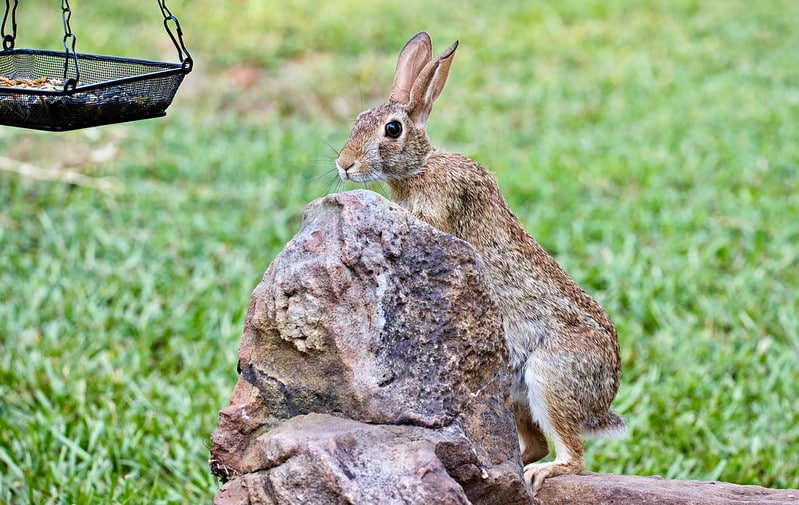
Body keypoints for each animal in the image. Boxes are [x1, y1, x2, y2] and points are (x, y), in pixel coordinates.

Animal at [335, 31, 626, 493]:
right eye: (360, 118)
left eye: (392, 129)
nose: (344, 165)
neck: (421, 166)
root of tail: (602, 402)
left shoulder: (443, 206)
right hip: (515, 392)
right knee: (534, 443)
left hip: (549, 377)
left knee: (572, 455)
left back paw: (541, 473)